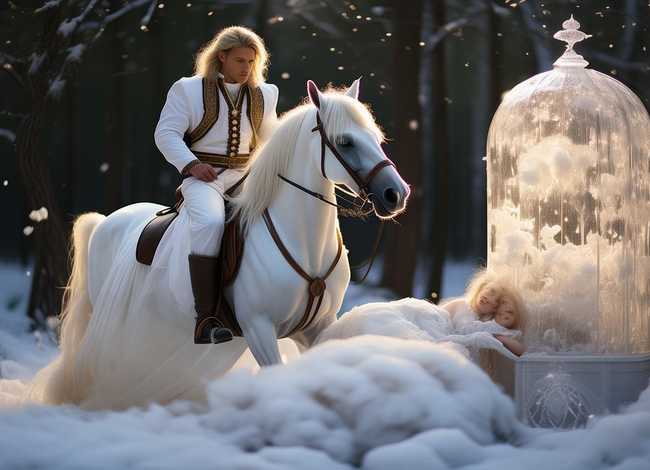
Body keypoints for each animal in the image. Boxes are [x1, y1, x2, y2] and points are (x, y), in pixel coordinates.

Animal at [27, 79, 410, 410]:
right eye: (345, 142)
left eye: (376, 137)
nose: (396, 193)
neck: (303, 242)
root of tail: (106, 221)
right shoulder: (258, 328)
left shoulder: (317, 327)